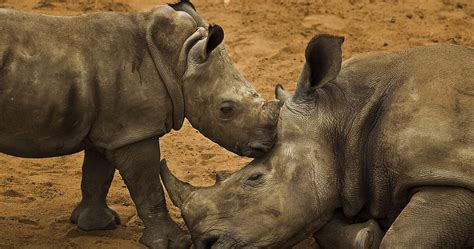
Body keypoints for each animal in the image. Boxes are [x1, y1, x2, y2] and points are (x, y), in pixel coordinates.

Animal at [0, 0, 280, 248]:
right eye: (226, 110)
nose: (267, 143)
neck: (177, 60)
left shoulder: (114, 128)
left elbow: (96, 174)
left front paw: (97, 225)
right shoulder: (135, 130)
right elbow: (148, 185)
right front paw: (173, 242)